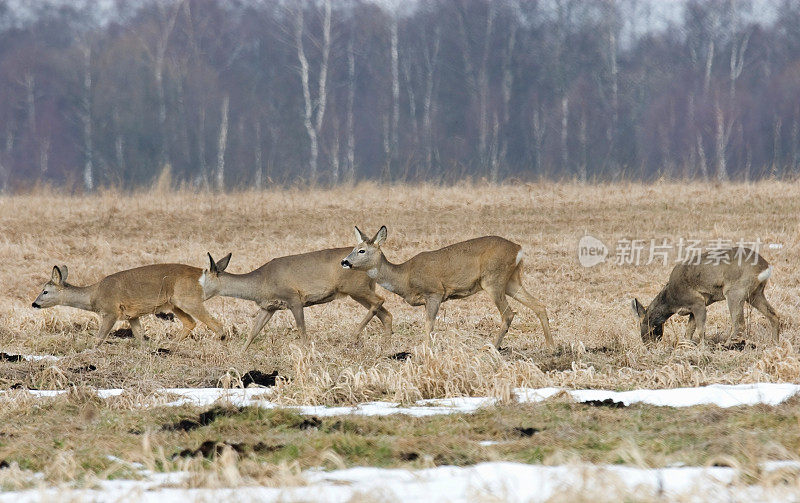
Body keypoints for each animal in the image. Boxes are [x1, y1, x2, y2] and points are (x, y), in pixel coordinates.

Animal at [32, 264, 223, 346]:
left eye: (45, 291)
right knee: (191, 322)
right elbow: (139, 335)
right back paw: (170, 344)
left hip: (188, 299)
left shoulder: (110, 312)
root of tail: (200, 273)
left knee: (216, 323)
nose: (34, 304)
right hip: (174, 303)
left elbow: (99, 338)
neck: (94, 295)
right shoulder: (132, 316)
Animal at [202, 251, 392, 350]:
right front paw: (240, 353)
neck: (261, 283)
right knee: (386, 314)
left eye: (202, 278)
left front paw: (305, 352)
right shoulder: (268, 307)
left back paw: (354, 335)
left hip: (355, 287)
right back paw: (386, 345)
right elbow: (253, 331)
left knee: (380, 301)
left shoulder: (294, 298)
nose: (200, 296)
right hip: (360, 290)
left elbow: (302, 329)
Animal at [340, 226, 552, 348]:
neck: (405, 277)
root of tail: (518, 249)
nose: (344, 261)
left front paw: (426, 351)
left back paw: (492, 347)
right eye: (353, 249)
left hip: (493, 279)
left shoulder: (435, 292)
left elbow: (429, 324)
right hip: (511, 280)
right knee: (539, 305)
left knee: (508, 313)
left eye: (361, 250)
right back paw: (551, 346)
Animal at [632, 249, 780, 344]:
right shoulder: (693, 308)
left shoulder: (697, 302)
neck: (671, 299)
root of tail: (765, 267)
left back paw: (726, 345)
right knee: (773, 314)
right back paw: (774, 343)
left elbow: (700, 330)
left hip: (735, 291)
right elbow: (688, 331)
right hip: (755, 293)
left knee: (739, 323)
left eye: (642, 325)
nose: (647, 345)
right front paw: (685, 346)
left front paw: (702, 348)